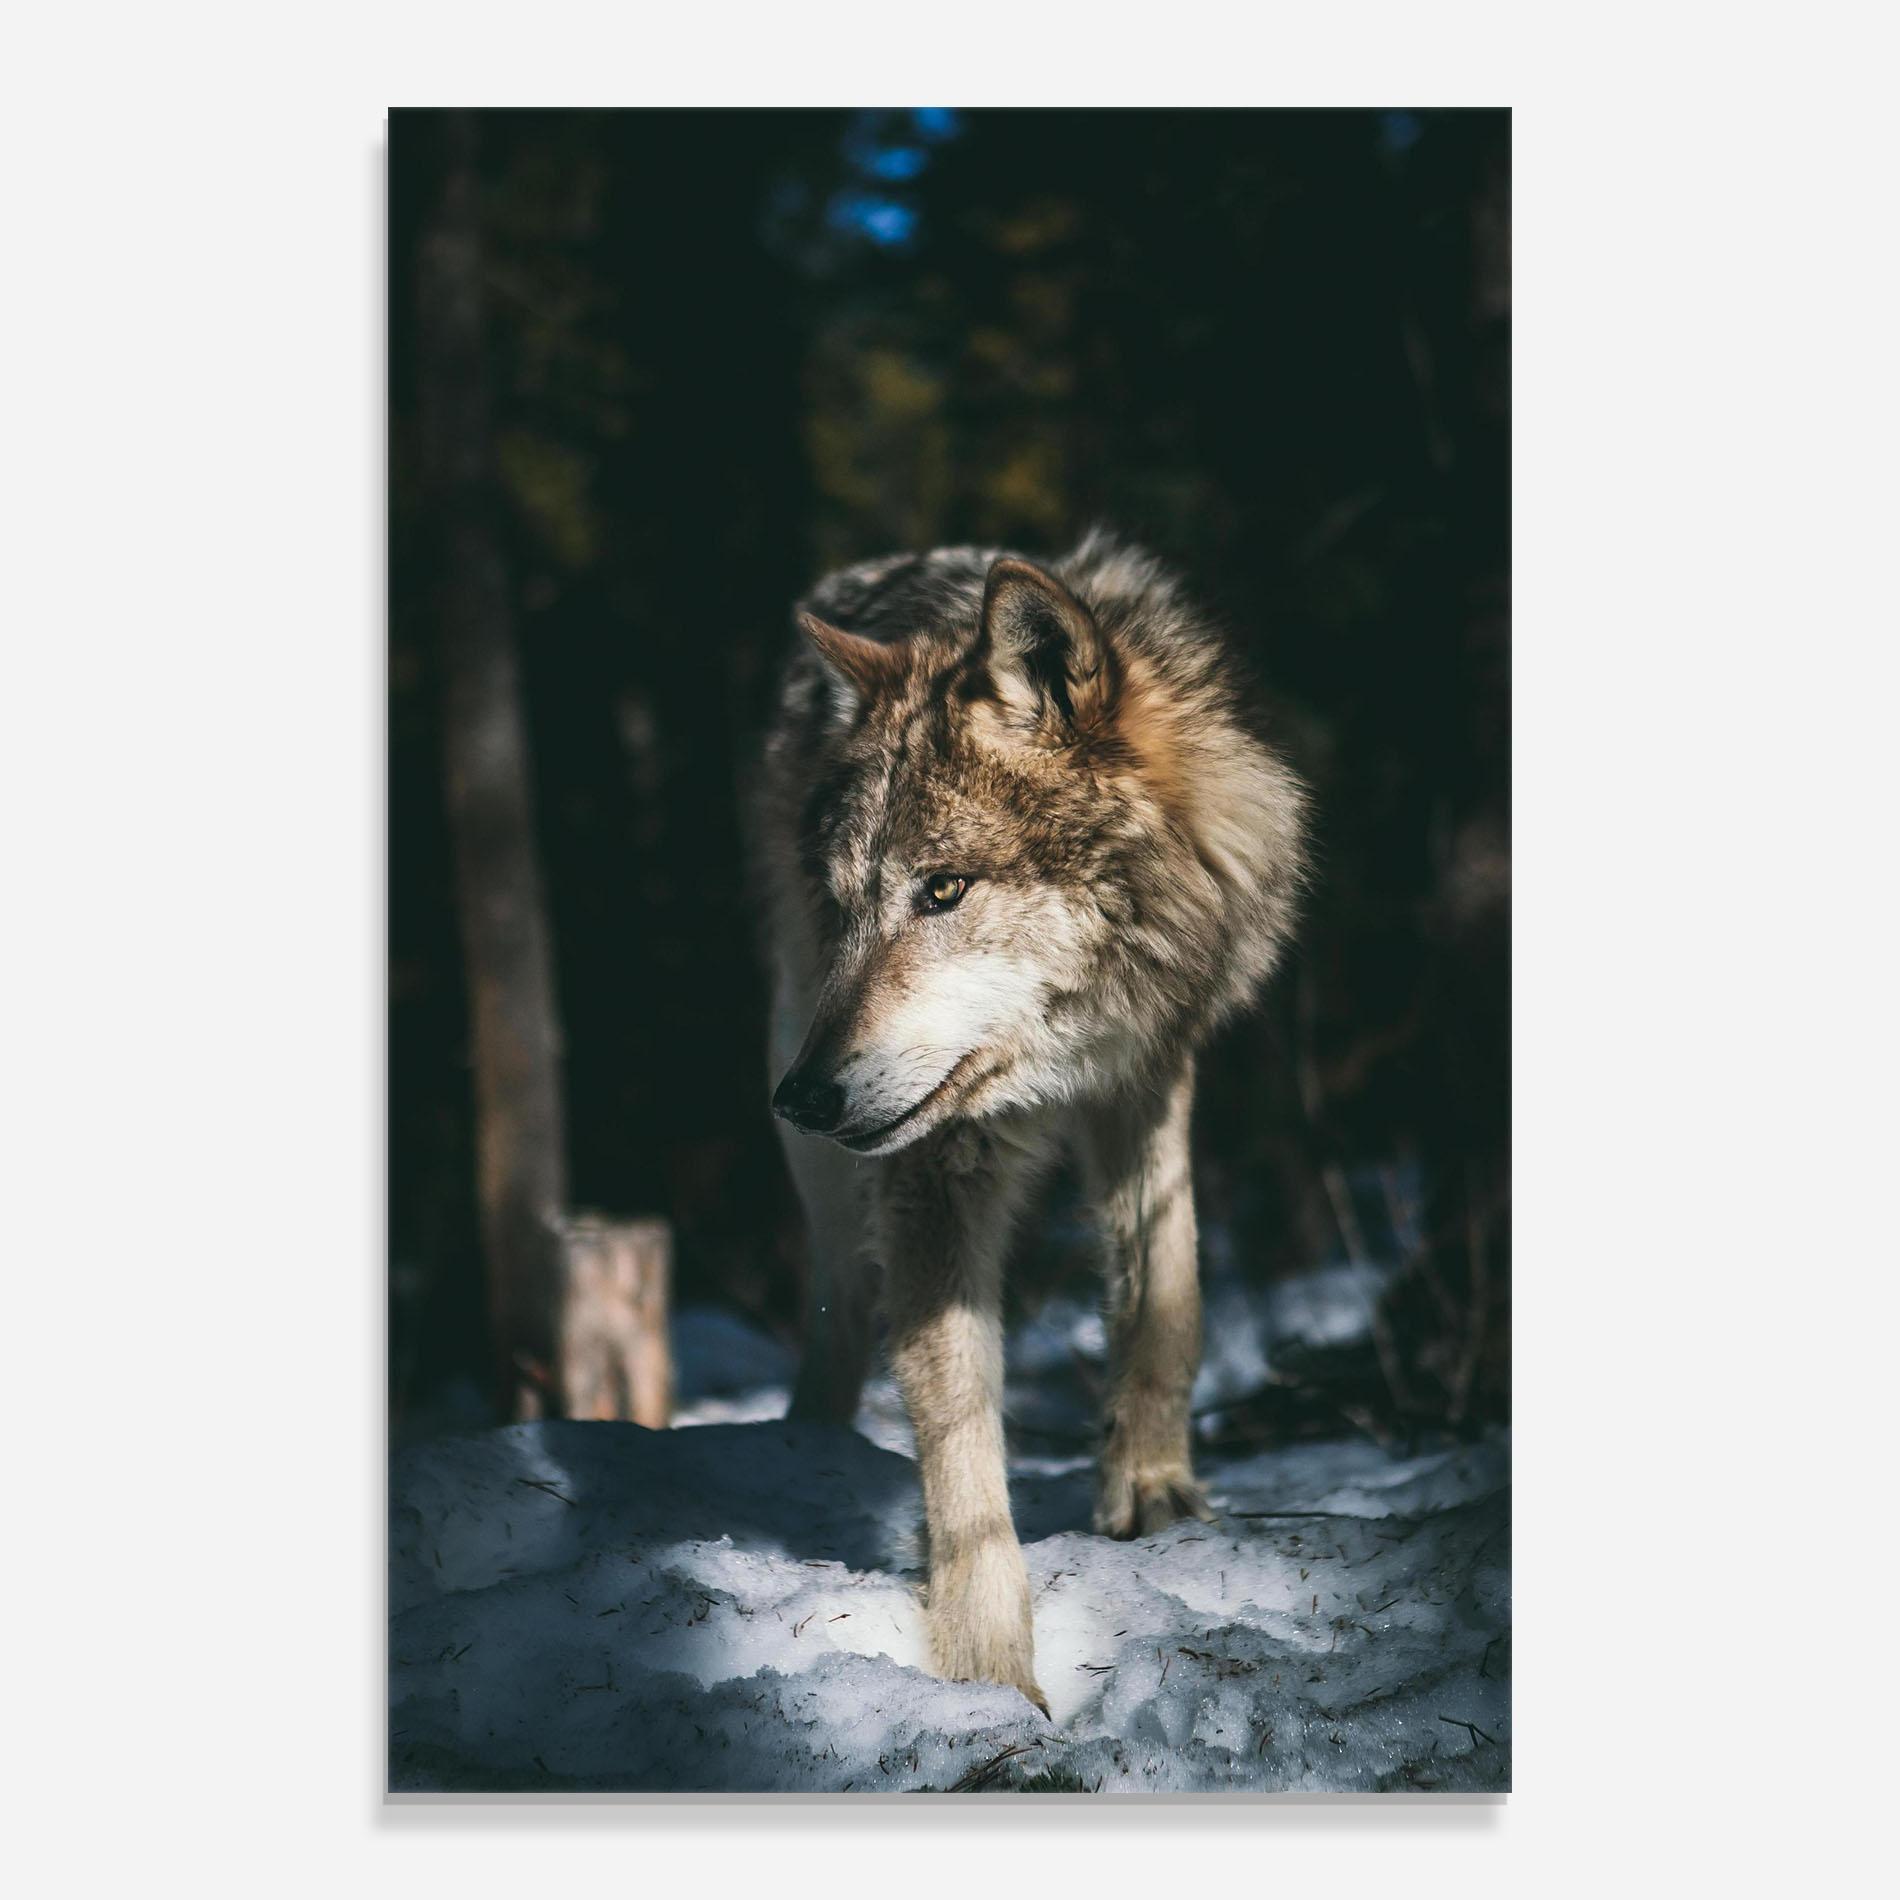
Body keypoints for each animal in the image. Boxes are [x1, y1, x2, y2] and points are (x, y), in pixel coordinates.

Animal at [756, 530, 1307, 1713]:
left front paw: (1151, 1489)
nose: (803, 1096)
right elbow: (959, 1437)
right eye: (846, 906)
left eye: (942, 889)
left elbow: (1167, 1296)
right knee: (838, 1299)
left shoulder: (1149, 1070)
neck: (1060, 1053)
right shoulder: (932, 1163)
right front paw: (988, 1675)